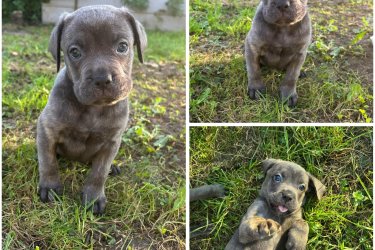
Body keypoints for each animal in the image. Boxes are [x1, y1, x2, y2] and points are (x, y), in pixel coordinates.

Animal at [36, 4, 148, 214]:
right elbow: (47, 161)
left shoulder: (112, 142)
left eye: (123, 47)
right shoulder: (47, 129)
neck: (94, 109)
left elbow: (99, 172)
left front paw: (94, 197)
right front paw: (50, 186)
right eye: (75, 52)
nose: (102, 79)